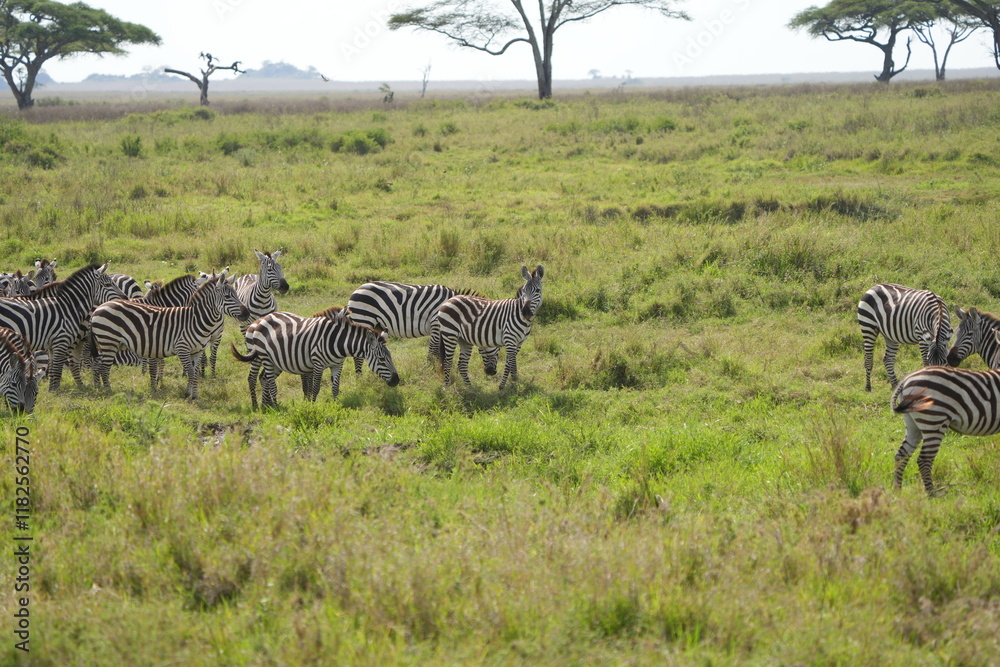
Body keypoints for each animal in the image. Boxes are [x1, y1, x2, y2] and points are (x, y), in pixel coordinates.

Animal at [89, 271, 247, 399]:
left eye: (236, 294)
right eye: (227, 296)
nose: (246, 312)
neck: (195, 319)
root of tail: (101, 306)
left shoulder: (196, 351)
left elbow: (195, 373)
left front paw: (194, 395)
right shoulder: (180, 348)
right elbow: (189, 372)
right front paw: (187, 394)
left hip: (105, 343)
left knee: (98, 365)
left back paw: (99, 388)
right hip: (109, 341)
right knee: (104, 368)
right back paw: (108, 391)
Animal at [230, 309, 399, 410]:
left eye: (390, 357)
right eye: (382, 359)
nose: (396, 380)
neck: (338, 342)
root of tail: (261, 319)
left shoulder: (337, 365)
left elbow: (335, 387)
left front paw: (335, 404)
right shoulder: (318, 363)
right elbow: (315, 387)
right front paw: (313, 406)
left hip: (275, 361)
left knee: (264, 378)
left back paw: (267, 405)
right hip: (261, 356)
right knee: (259, 380)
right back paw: (264, 406)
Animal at [344, 280, 499, 375]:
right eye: (497, 347)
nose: (491, 372)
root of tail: (357, 290)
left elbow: (440, 352)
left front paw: (440, 369)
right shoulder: (436, 324)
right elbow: (433, 351)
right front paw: (429, 369)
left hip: (374, 324)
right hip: (364, 319)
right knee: (358, 355)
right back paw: (360, 377)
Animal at [891, 354, 1000, 496]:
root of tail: (905, 380)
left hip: (912, 424)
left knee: (901, 455)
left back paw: (897, 491)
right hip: (934, 420)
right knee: (924, 460)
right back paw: (932, 494)